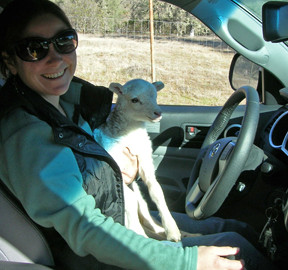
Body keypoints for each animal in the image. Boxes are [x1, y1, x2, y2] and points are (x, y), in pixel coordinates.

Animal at [93, 78, 181, 243]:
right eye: (134, 100)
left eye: (155, 95)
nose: (158, 113)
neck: (131, 135)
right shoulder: (117, 168)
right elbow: (130, 200)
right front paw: (138, 235)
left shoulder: (145, 160)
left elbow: (157, 192)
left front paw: (172, 230)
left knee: (144, 210)